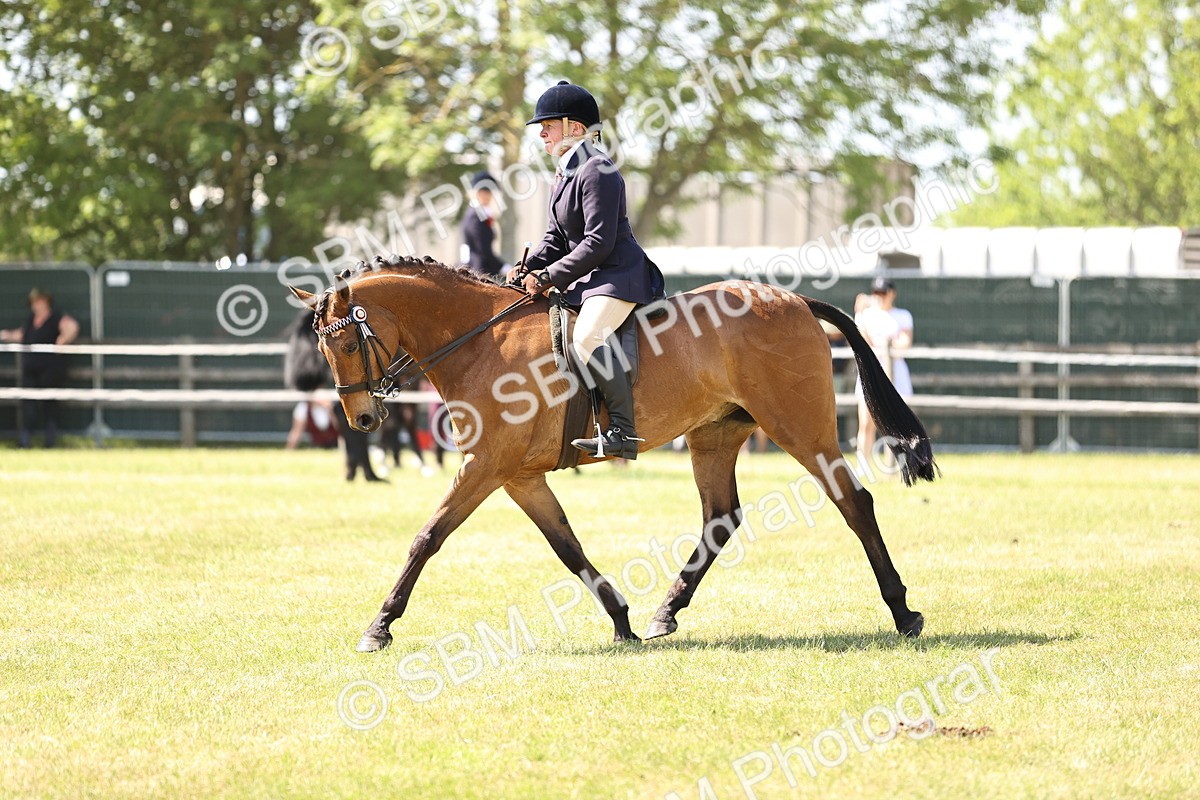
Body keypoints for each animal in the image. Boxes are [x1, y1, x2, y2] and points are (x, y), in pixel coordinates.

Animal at [291, 255, 936, 653]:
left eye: (345, 344)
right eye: (324, 348)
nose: (363, 419)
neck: (480, 341)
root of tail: (797, 300)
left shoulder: (485, 467)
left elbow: (427, 537)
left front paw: (379, 626)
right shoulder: (518, 476)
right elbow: (566, 546)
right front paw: (621, 618)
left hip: (800, 430)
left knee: (854, 502)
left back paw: (904, 612)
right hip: (715, 435)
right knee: (720, 518)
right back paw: (664, 612)